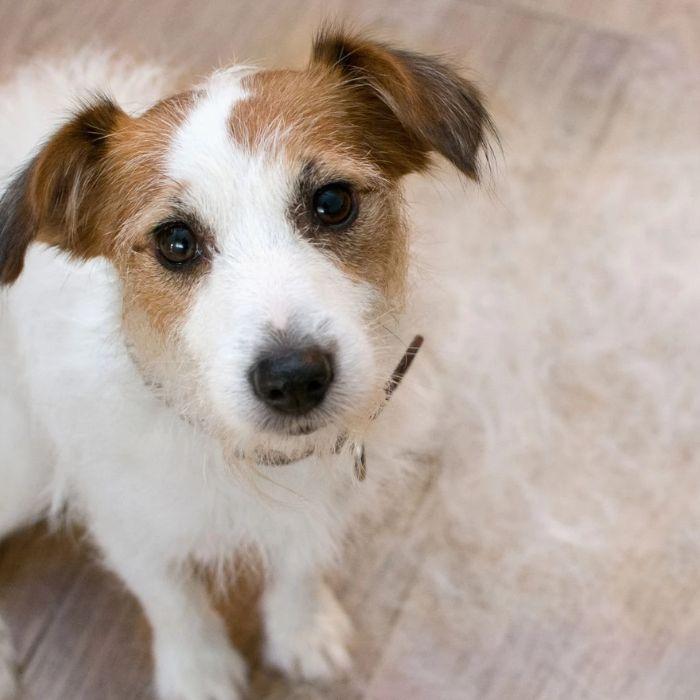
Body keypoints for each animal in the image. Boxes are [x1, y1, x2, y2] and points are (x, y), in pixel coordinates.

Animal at [0, 28, 492, 700]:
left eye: (332, 201)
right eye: (176, 242)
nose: (294, 378)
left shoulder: (326, 497)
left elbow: (301, 564)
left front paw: (303, 630)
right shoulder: (127, 519)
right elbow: (173, 600)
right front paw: (198, 672)